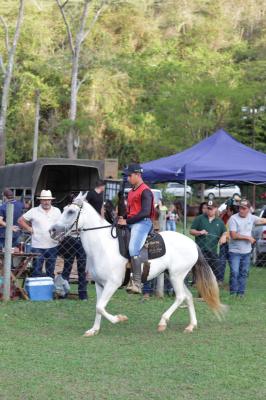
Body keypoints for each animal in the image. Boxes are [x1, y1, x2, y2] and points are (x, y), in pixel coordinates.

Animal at [51, 192, 225, 336]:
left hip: (176, 276)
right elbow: (98, 307)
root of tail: (192, 243)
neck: (102, 246)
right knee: (187, 297)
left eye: (71, 212)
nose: (52, 230)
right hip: (175, 276)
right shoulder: (99, 285)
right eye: (64, 209)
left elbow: (100, 307)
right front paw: (94, 330)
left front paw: (119, 318)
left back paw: (163, 322)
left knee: (181, 297)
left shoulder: (112, 284)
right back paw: (191, 326)